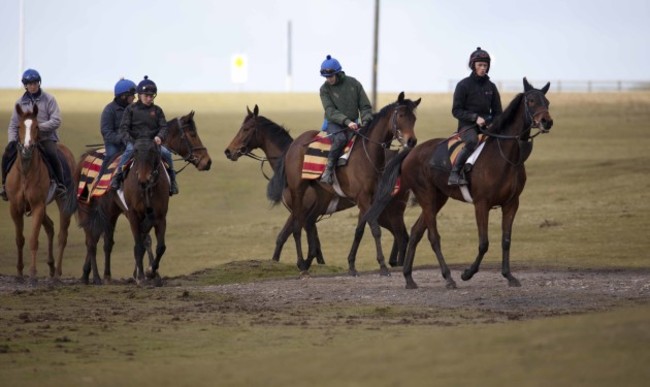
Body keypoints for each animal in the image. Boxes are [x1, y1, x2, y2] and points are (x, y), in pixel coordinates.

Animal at [5, 103, 77, 284]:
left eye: (37, 127)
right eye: (19, 126)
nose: (27, 148)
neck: (25, 173)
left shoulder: (38, 206)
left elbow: (33, 240)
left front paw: (32, 273)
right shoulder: (15, 208)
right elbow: (20, 239)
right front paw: (19, 272)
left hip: (63, 202)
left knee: (62, 235)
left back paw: (57, 272)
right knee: (50, 227)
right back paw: (51, 267)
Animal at [75, 112, 210, 284]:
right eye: (192, 134)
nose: (207, 161)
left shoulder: (156, 213)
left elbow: (150, 240)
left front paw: (148, 272)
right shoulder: (132, 212)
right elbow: (141, 241)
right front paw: (142, 274)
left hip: (110, 212)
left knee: (104, 240)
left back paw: (92, 275)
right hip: (96, 210)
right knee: (94, 240)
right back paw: (98, 277)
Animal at [223, 105, 404, 270]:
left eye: (246, 129)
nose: (229, 151)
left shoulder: (302, 211)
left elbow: (284, 237)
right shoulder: (309, 215)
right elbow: (312, 244)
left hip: (386, 212)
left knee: (401, 234)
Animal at [266, 92, 418, 276]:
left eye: (414, 118)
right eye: (401, 115)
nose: (411, 141)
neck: (368, 155)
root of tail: (294, 145)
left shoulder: (369, 199)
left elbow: (360, 230)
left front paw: (352, 265)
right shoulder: (363, 198)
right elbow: (374, 228)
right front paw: (382, 266)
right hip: (298, 191)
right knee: (296, 227)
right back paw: (302, 266)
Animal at [364, 79, 552, 290]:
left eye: (547, 102)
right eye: (531, 101)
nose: (547, 121)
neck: (504, 156)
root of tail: (412, 151)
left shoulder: (511, 204)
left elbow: (506, 240)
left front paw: (509, 276)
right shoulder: (481, 204)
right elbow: (484, 243)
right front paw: (467, 273)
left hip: (438, 198)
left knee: (415, 232)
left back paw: (409, 278)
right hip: (427, 197)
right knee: (433, 237)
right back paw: (448, 277)